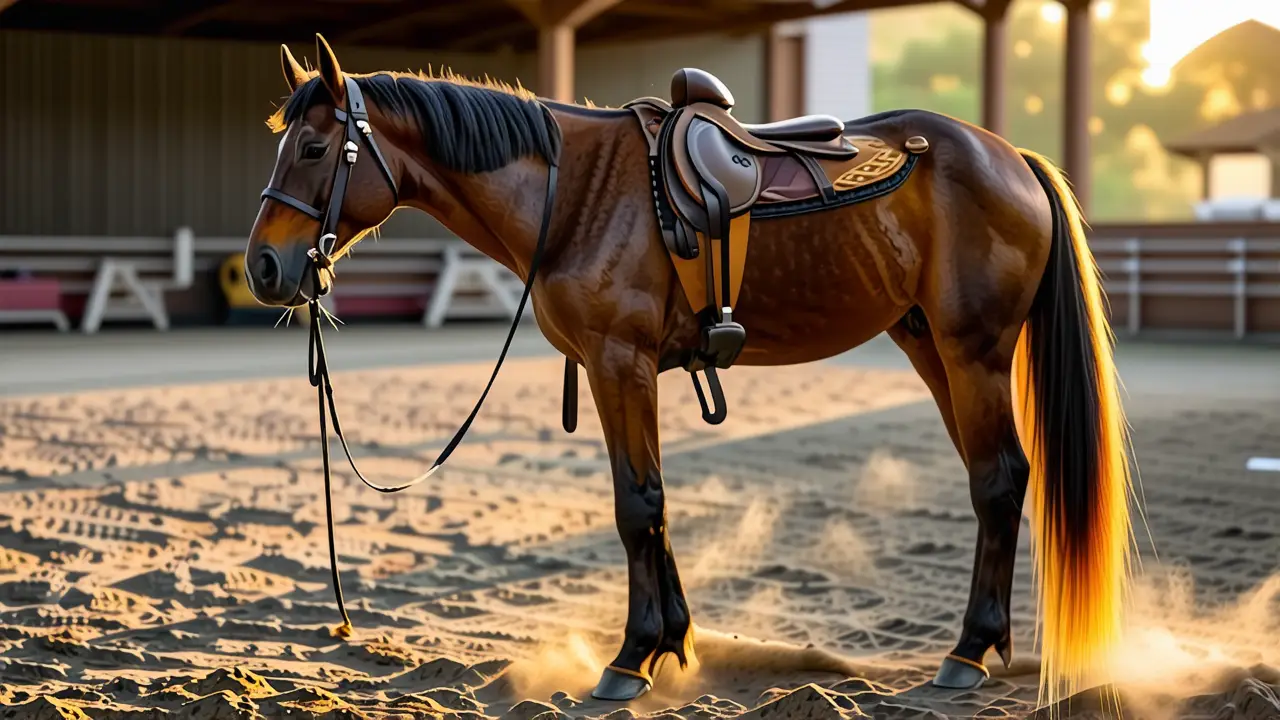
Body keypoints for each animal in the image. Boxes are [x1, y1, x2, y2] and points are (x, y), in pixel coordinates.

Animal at [245, 34, 1136, 710]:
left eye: (316, 147)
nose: (262, 267)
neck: (577, 195)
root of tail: (1007, 156)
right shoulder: (614, 371)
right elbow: (651, 503)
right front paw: (674, 644)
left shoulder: (621, 363)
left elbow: (637, 507)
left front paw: (630, 658)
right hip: (929, 347)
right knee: (1001, 478)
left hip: (972, 350)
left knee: (997, 480)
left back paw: (967, 652)